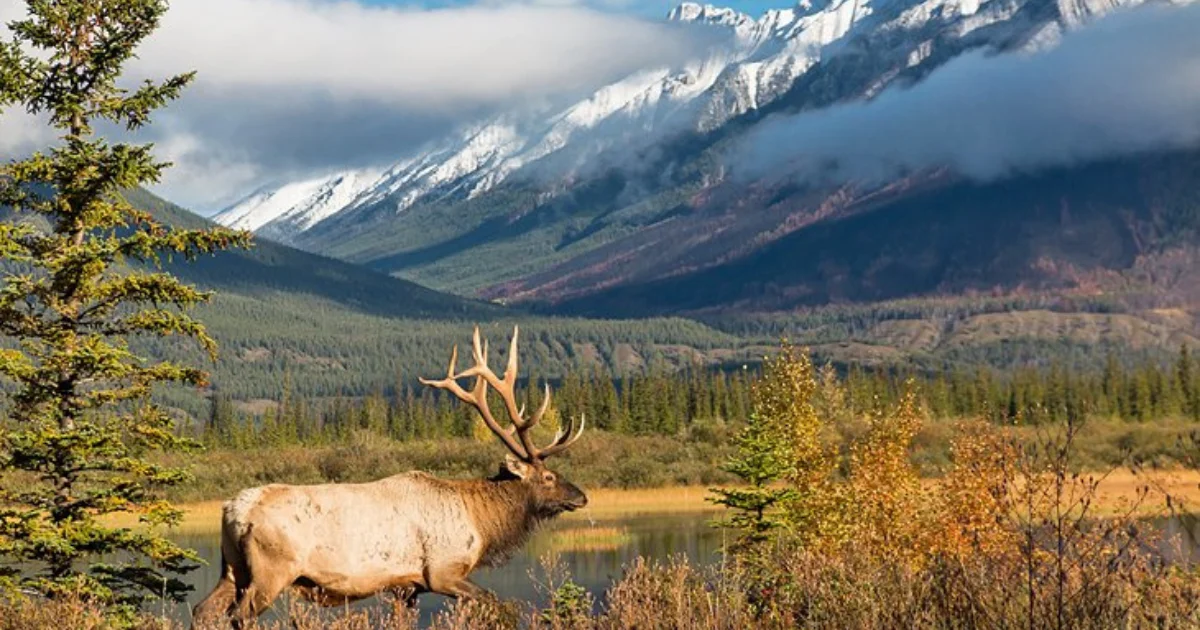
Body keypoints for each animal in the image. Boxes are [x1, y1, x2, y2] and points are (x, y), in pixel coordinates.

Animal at [192, 326, 585, 624]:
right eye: (548, 477)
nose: (581, 496)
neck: (482, 523)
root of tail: (235, 509)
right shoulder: (443, 572)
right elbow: (495, 602)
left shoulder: (406, 586)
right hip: (271, 571)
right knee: (239, 617)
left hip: (232, 568)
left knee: (201, 610)